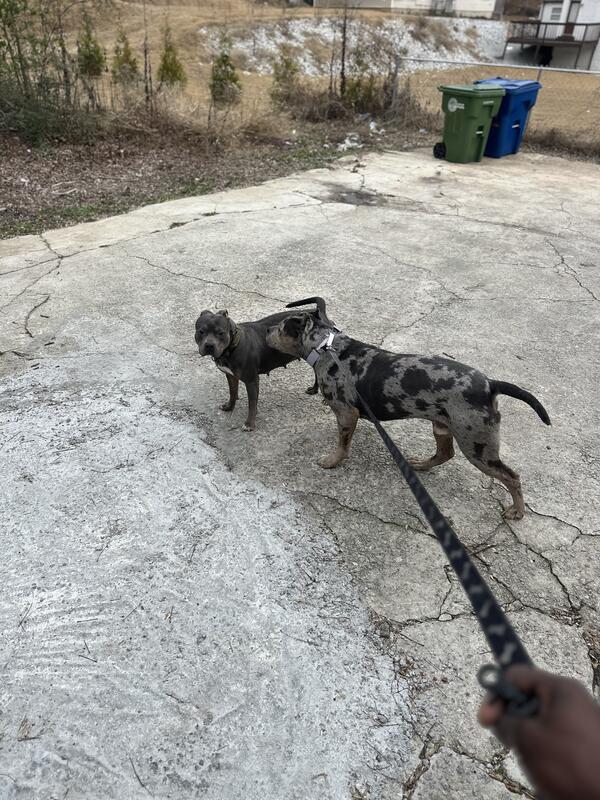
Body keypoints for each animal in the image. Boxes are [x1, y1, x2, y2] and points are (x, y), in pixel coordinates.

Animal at [195, 298, 332, 431]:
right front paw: (229, 406)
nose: (209, 345)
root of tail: (318, 313)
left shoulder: (252, 381)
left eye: (221, 333)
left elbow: (252, 404)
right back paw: (314, 389)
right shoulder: (231, 376)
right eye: (201, 331)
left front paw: (249, 424)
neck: (232, 346)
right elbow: (232, 392)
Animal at [266, 313, 550, 520]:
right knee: (444, 454)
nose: (266, 332)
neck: (326, 347)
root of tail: (490, 385)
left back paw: (518, 510)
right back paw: (421, 464)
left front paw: (332, 460)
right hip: (443, 426)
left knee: (512, 477)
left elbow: (342, 444)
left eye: (279, 328)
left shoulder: (347, 414)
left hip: (477, 446)